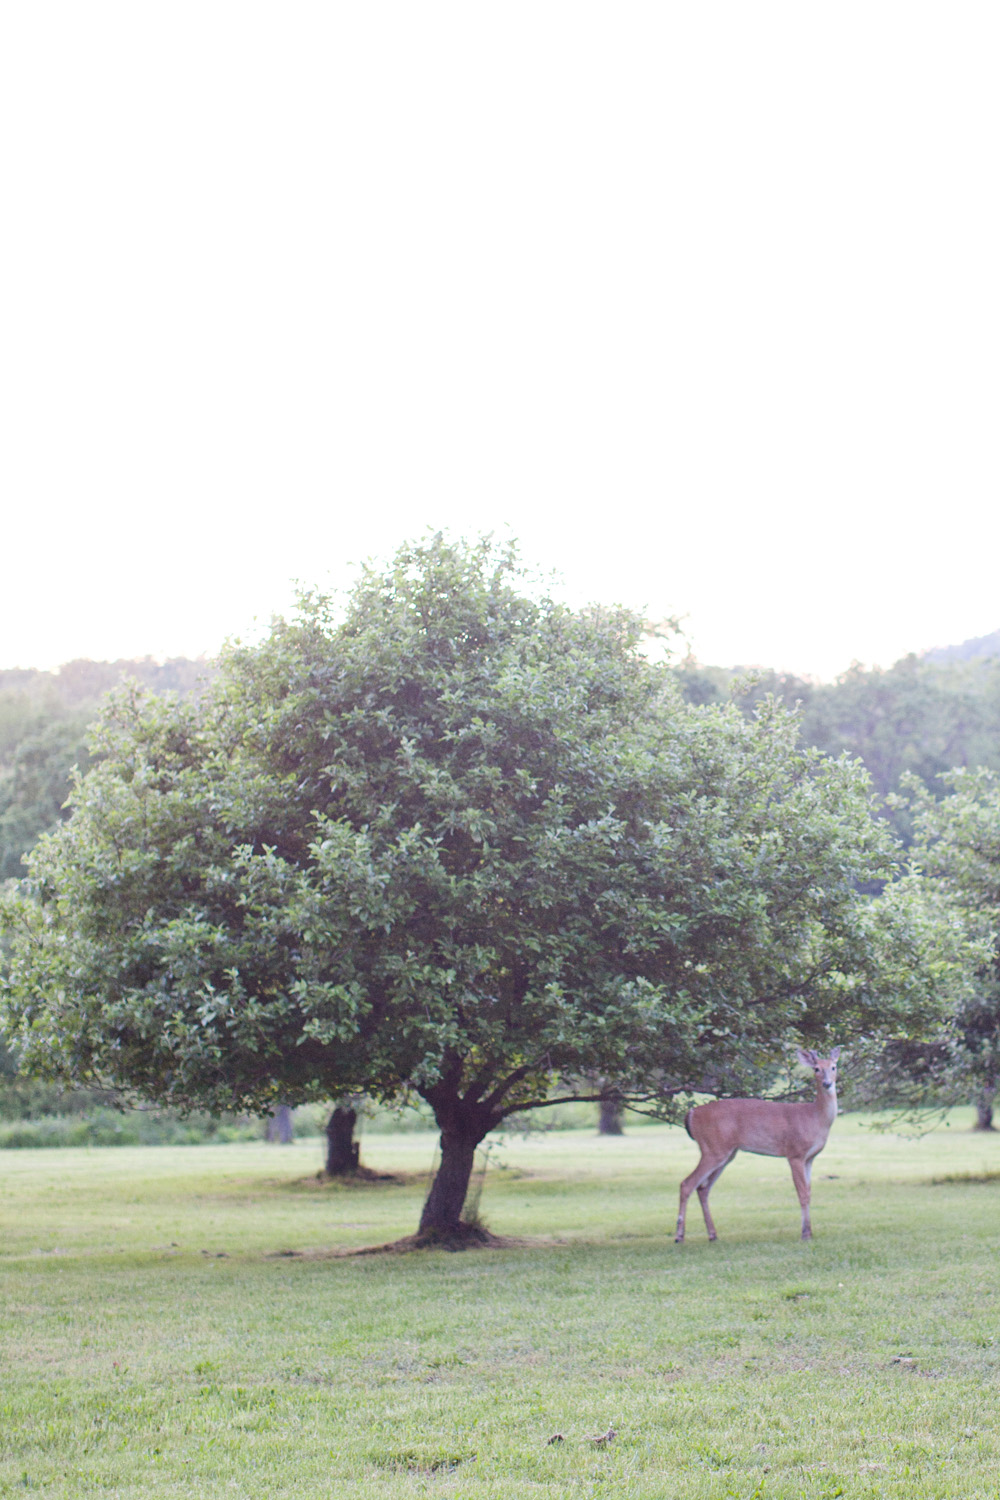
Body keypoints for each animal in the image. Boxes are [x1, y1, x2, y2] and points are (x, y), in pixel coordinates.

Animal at [677, 1044, 839, 1242]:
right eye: (816, 1069)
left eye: (833, 1067)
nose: (827, 1083)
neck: (815, 1117)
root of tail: (691, 1113)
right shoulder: (794, 1153)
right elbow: (802, 1193)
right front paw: (805, 1234)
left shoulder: (809, 1158)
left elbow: (809, 1192)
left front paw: (809, 1231)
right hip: (713, 1148)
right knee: (687, 1184)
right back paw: (679, 1236)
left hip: (726, 1153)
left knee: (702, 1188)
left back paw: (713, 1234)